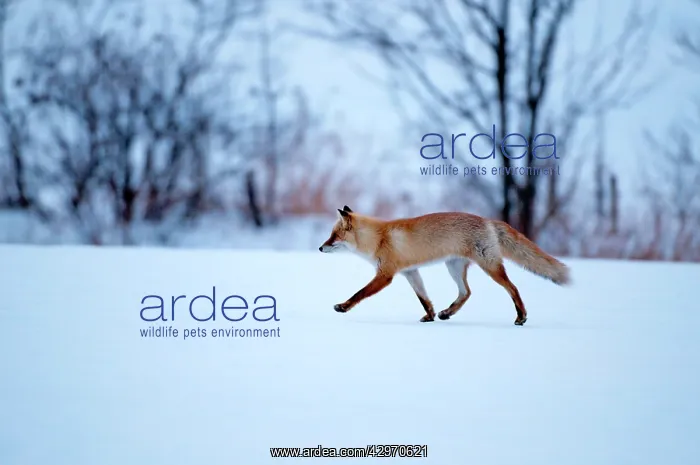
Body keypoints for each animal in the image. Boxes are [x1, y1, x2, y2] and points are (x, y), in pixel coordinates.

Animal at [319, 206, 571, 325]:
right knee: (466, 292)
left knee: (513, 288)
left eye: (334, 236)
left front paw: (343, 307)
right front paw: (430, 316)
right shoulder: (410, 272)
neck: (379, 238)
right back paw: (447, 313)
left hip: (489, 266)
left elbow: (359, 293)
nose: (320, 248)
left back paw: (521, 317)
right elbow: (424, 299)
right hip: (454, 267)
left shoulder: (385, 274)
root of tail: (488, 220)